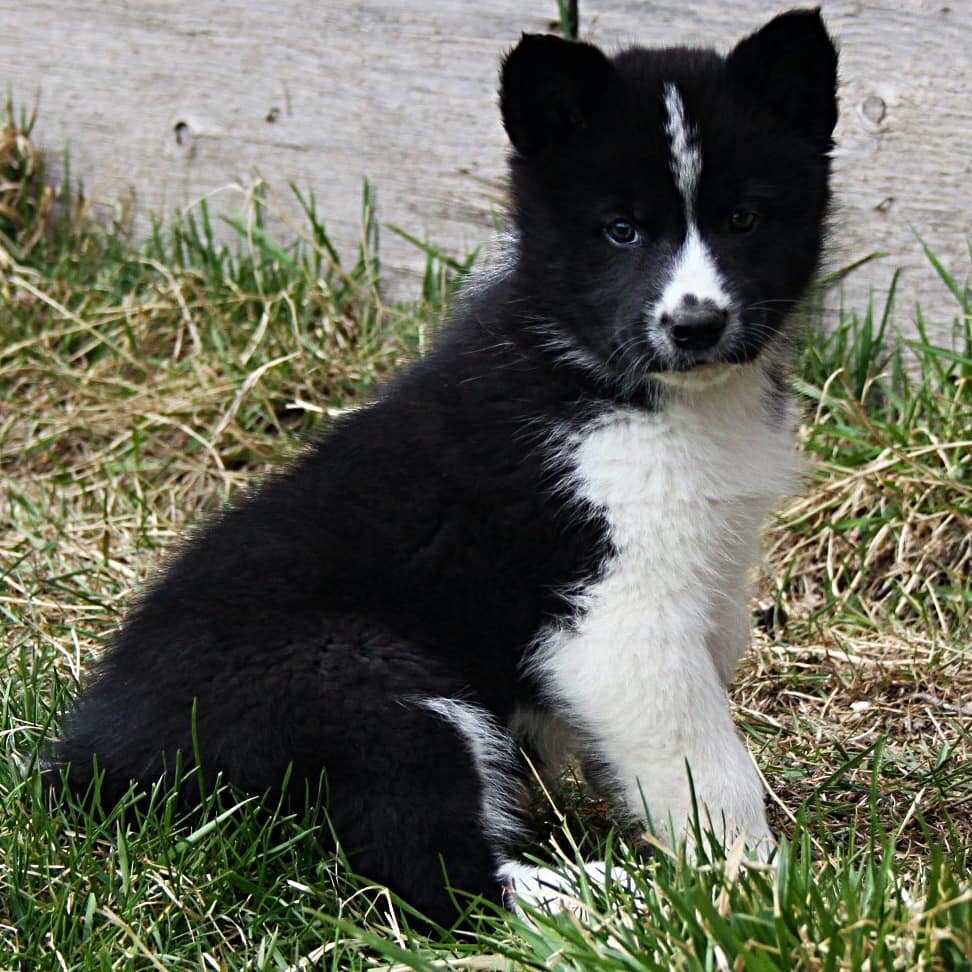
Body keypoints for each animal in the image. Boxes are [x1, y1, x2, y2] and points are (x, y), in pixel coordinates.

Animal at [51, 9, 836, 928]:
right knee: (431, 872)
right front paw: (760, 891)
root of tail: (101, 762)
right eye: (621, 230)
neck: (624, 387)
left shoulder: (706, 569)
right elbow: (709, 764)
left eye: (745, 218)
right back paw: (605, 900)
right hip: (369, 686)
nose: (697, 325)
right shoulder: (612, 613)